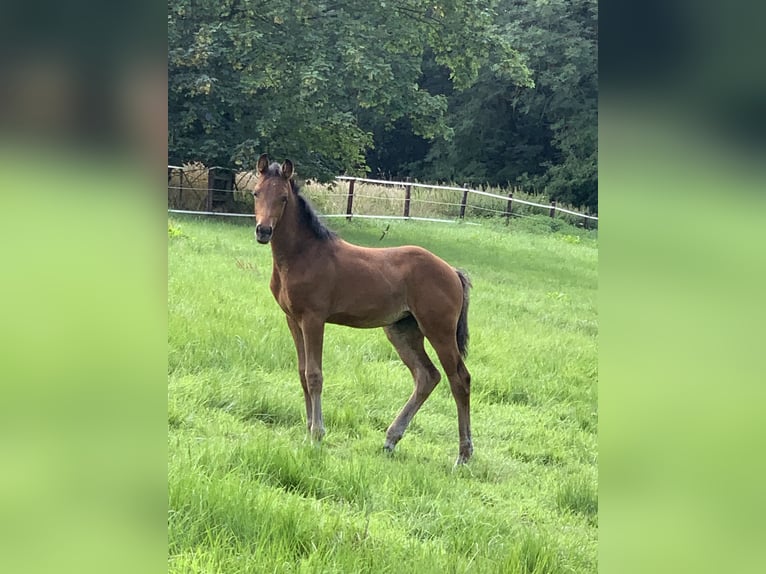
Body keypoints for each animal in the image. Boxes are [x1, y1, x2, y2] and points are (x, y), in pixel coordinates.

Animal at [252, 155, 474, 466]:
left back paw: (463, 455)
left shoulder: (313, 319)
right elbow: (302, 373)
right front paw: (307, 430)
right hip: (402, 330)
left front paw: (317, 435)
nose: (263, 231)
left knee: (459, 379)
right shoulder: (292, 319)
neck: (304, 255)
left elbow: (315, 375)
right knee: (427, 376)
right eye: (256, 193)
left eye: (283, 198)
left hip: (439, 330)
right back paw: (391, 440)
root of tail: (453, 272)